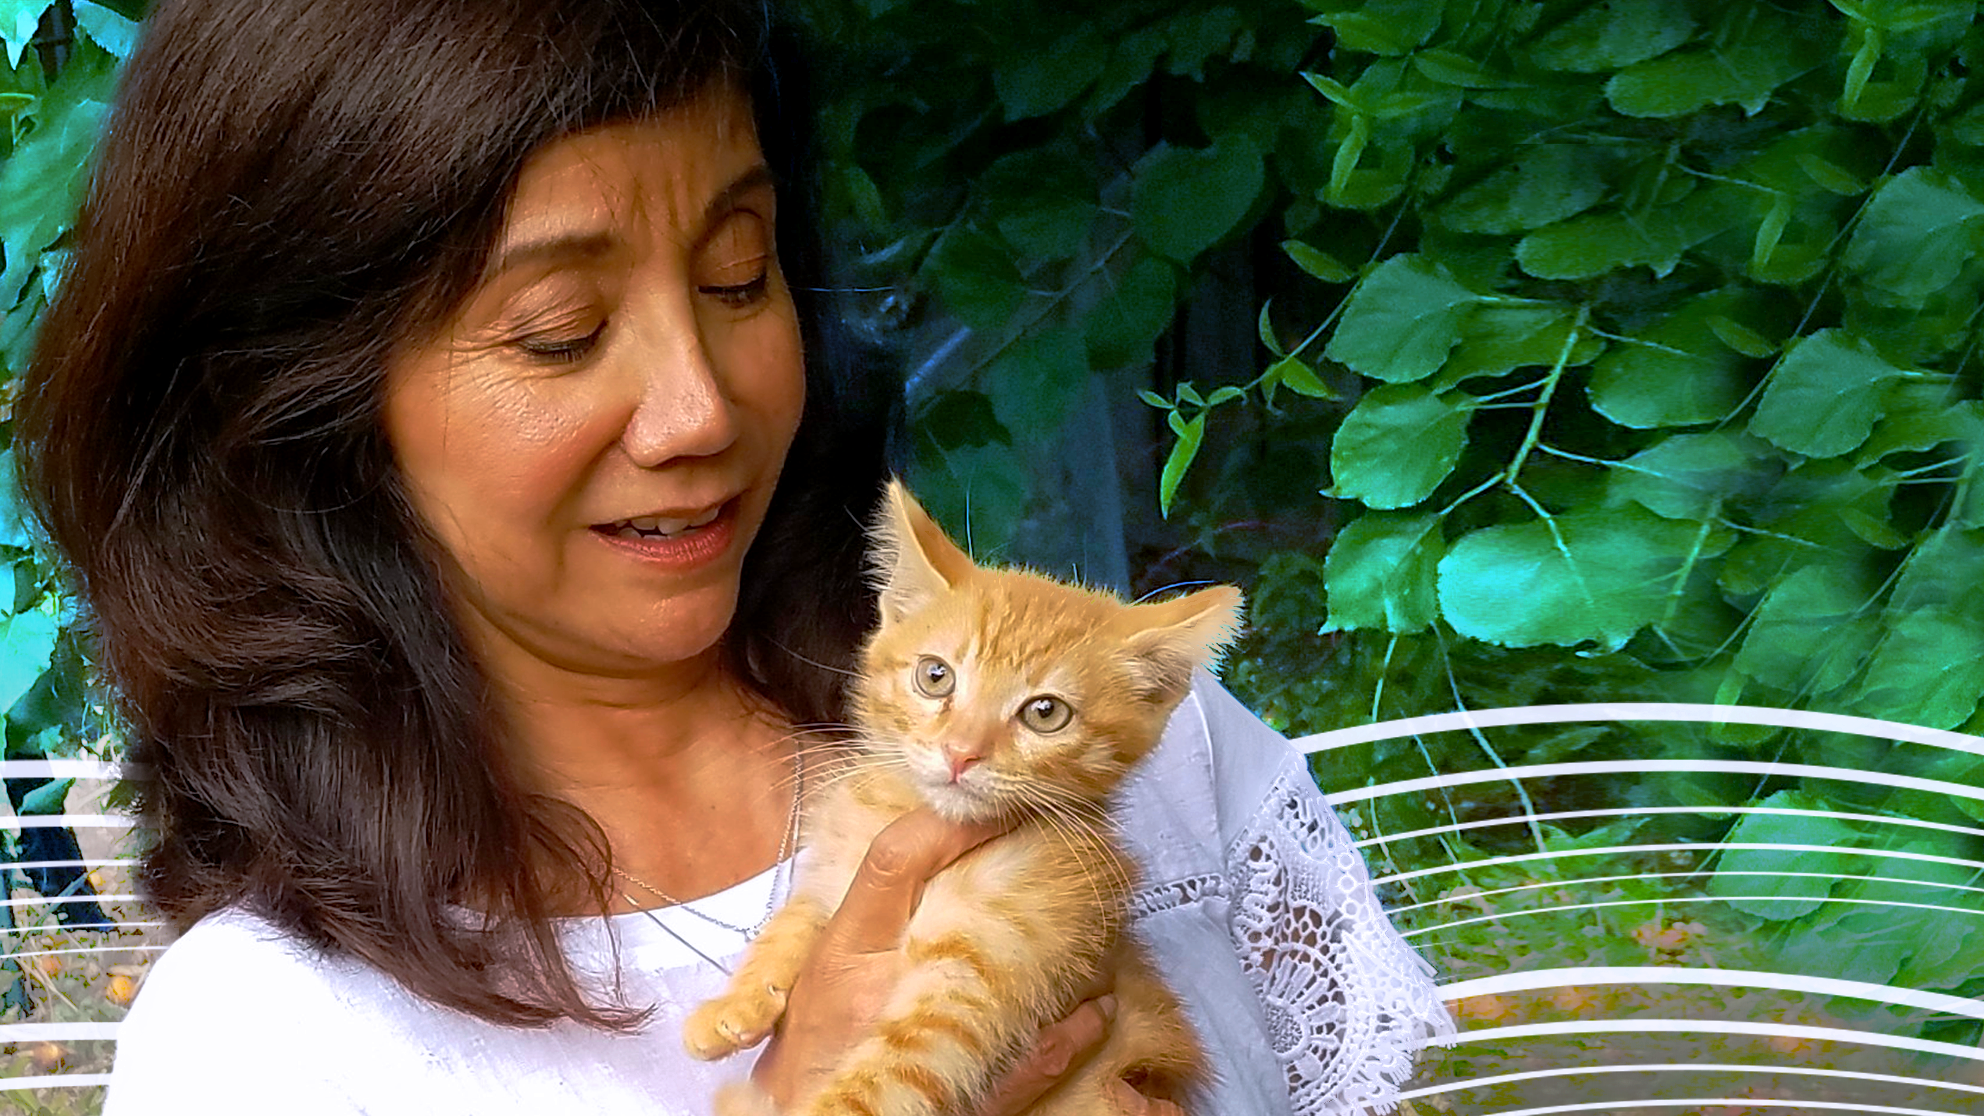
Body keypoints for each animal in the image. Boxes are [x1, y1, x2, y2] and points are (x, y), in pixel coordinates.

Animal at [686, 480, 1238, 1112]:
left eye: (1045, 713)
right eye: (935, 677)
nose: (961, 752)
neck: (909, 814)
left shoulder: (981, 977)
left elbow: (887, 1076)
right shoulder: (838, 871)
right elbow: (796, 918)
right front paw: (736, 1004)